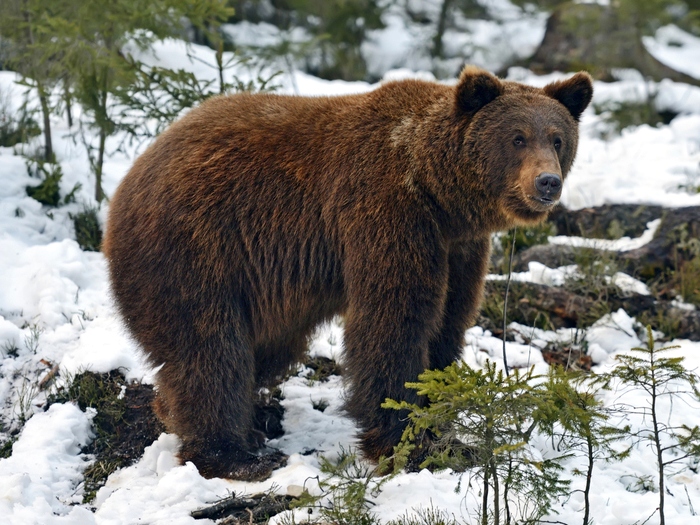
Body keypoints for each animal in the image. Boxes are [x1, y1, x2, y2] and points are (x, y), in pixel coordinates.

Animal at [104, 64, 592, 478]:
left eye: (557, 138)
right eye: (517, 137)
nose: (547, 182)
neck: (439, 194)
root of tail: (128, 179)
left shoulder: (459, 248)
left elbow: (448, 324)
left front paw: (443, 424)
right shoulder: (387, 213)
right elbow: (393, 323)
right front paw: (409, 441)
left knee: (264, 346)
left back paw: (243, 415)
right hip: (195, 249)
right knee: (209, 349)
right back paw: (233, 454)